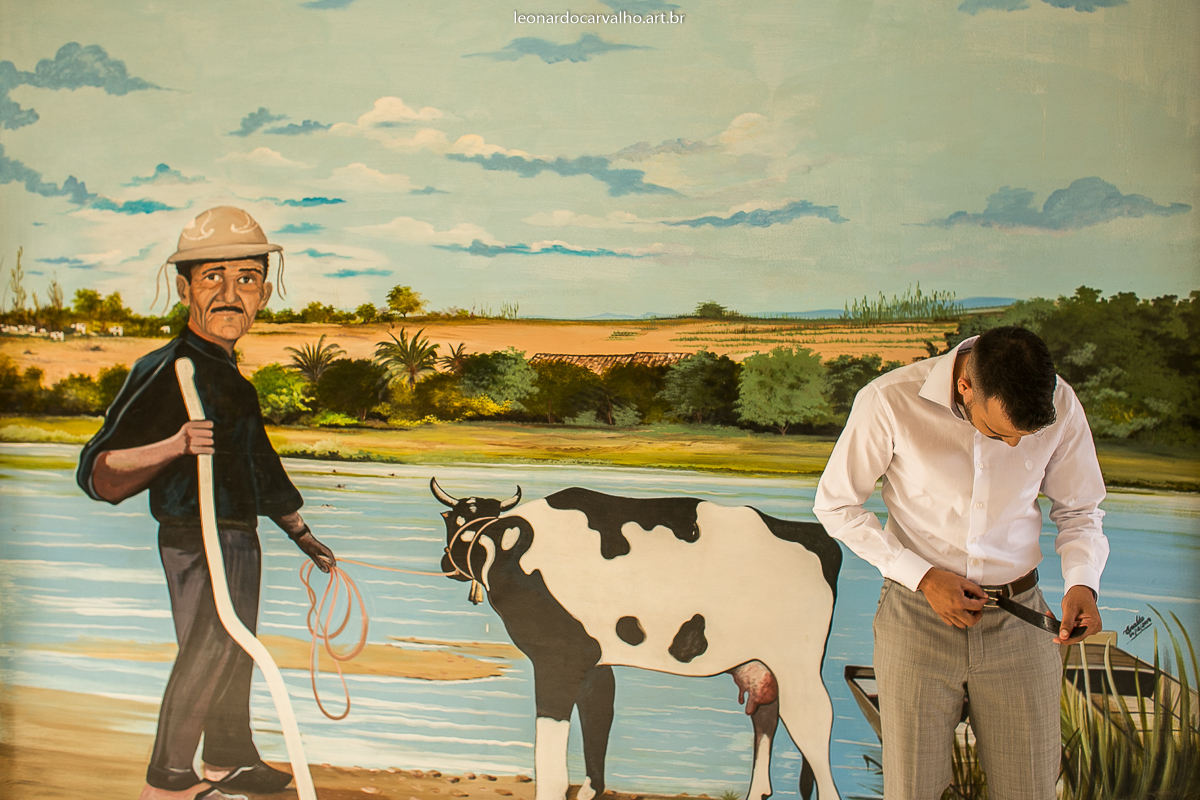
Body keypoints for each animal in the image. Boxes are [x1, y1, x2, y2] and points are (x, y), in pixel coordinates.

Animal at [430, 479, 842, 800]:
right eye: (451, 518)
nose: (446, 562)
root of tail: (816, 535)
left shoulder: (558, 658)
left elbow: (551, 755)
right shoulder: (596, 661)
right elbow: (598, 717)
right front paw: (591, 789)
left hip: (799, 665)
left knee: (814, 728)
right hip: (760, 664)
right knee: (766, 718)